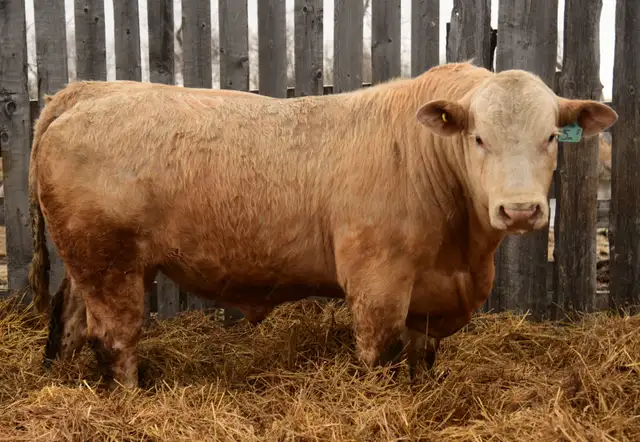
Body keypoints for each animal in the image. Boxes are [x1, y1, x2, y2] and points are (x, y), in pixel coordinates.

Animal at [29, 62, 617, 389]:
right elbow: (379, 353)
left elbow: (421, 354)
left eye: (551, 136)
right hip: (109, 262)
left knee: (71, 321)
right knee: (116, 336)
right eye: (478, 138)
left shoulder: (432, 291)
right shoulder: (377, 281)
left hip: (89, 263)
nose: (519, 210)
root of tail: (88, 90)